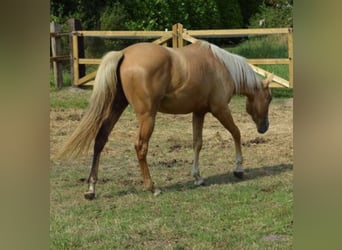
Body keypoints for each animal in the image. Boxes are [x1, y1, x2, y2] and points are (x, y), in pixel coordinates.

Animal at [58, 41, 272, 201]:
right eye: (269, 98)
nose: (264, 127)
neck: (221, 66)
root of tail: (124, 54)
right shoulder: (220, 109)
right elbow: (236, 133)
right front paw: (239, 169)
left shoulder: (199, 112)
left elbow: (197, 143)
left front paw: (198, 177)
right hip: (147, 116)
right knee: (140, 146)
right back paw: (152, 187)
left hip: (117, 107)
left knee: (100, 139)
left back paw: (91, 188)